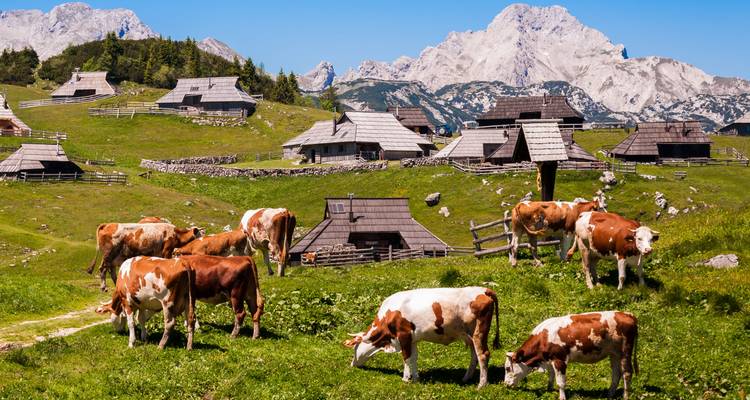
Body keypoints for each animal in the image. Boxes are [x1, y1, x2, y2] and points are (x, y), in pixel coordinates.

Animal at [343, 287, 500, 388]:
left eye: (355, 348)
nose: (352, 364)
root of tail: (483, 289)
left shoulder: (403, 334)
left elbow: (406, 357)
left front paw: (406, 379)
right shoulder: (412, 339)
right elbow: (413, 358)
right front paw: (416, 378)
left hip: (479, 332)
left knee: (483, 354)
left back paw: (481, 384)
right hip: (470, 335)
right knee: (474, 356)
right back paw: (466, 378)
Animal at [504, 311, 638, 400]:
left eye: (507, 368)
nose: (505, 384)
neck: (544, 337)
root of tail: (628, 314)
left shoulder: (560, 359)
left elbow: (561, 382)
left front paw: (562, 397)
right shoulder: (551, 358)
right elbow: (551, 375)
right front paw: (549, 389)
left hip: (625, 351)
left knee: (627, 373)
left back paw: (625, 396)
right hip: (614, 353)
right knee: (616, 373)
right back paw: (609, 395)